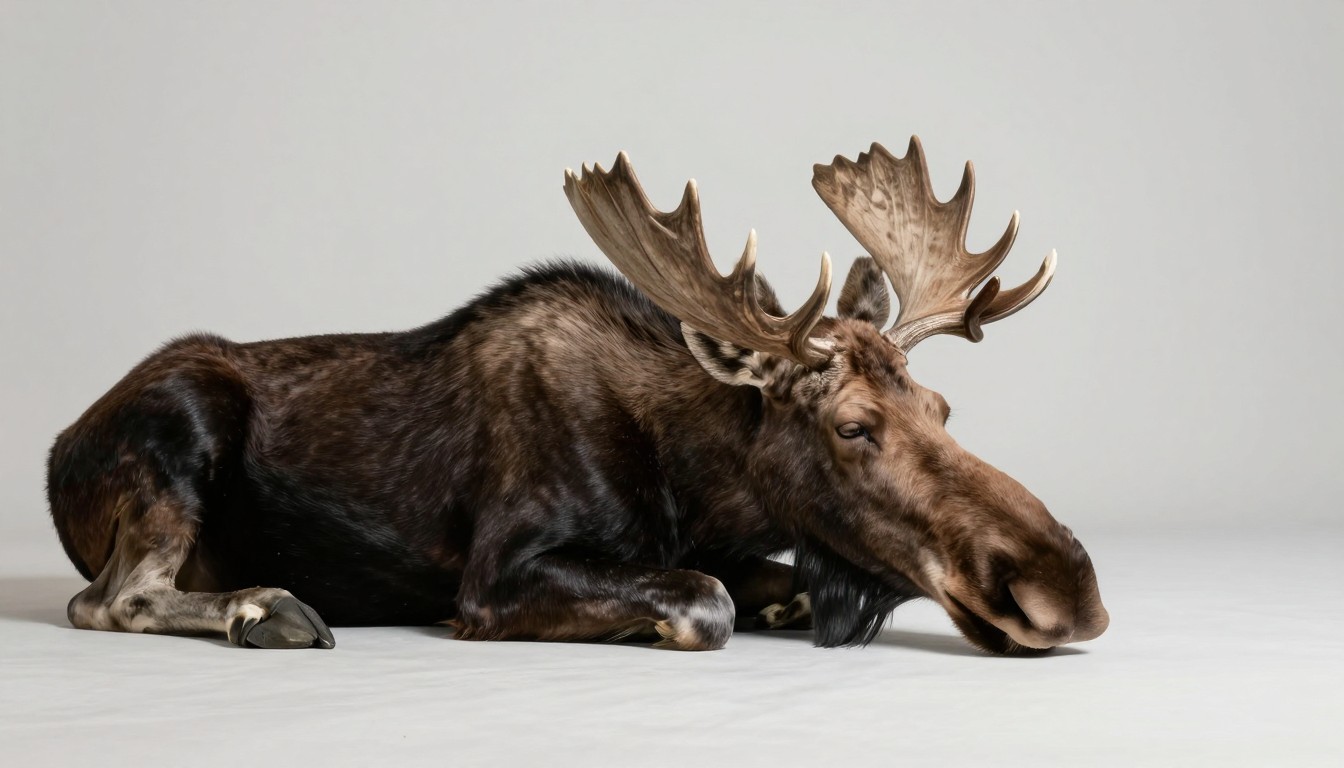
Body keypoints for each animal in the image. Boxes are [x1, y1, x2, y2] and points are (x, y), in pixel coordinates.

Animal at [46, 137, 1108, 653]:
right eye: (852, 426)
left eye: (943, 411)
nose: (1068, 593)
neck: (697, 485)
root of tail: (56, 450)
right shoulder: (499, 572)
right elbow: (707, 601)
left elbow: (775, 581)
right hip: (183, 423)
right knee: (108, 600)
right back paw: (267, 609)